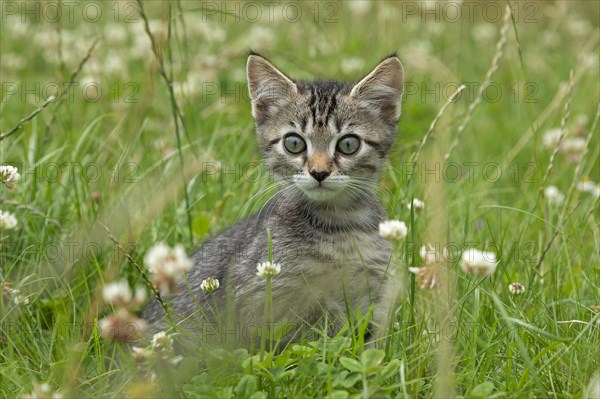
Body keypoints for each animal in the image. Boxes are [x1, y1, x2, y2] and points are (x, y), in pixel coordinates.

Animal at [145, 52, 406, 346]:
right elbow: (314, 322)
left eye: (348, 144)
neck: (340, 225)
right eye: (294, 143)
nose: (319, 172)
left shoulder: (377, 290)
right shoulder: (260, 296)